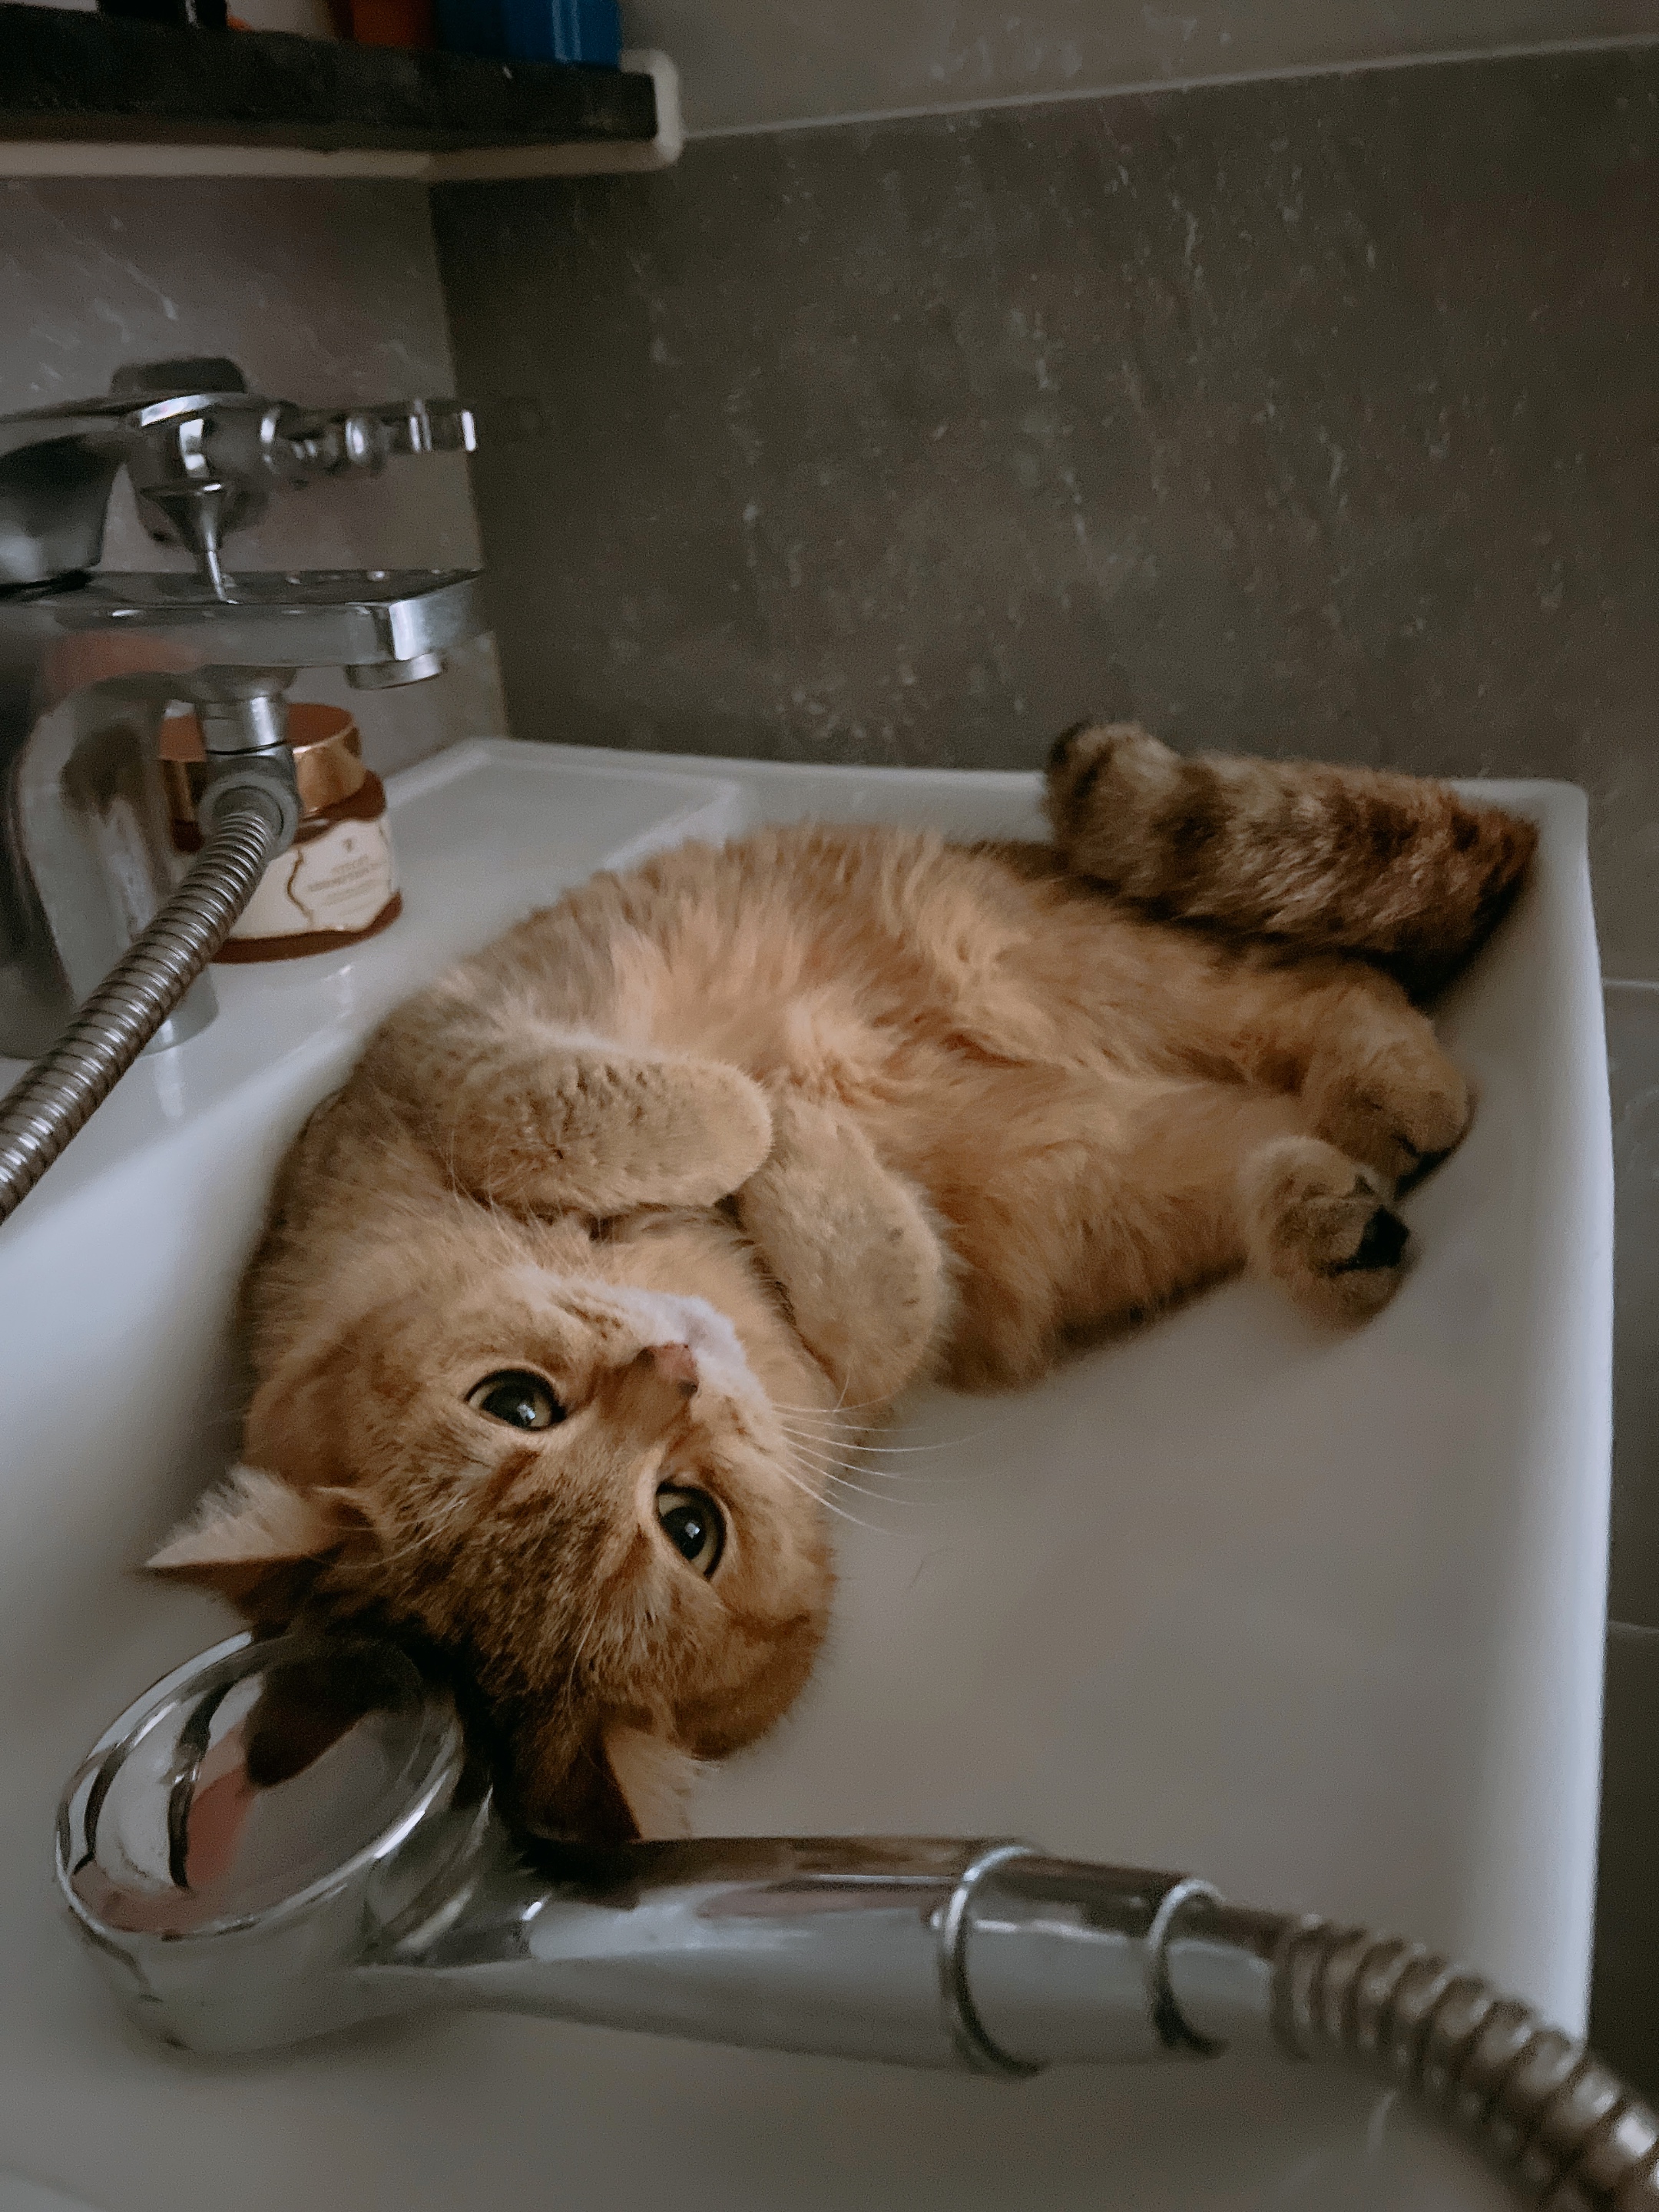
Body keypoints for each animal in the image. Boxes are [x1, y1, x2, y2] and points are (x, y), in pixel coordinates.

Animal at [149, 724, 1537, 1845]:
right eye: (692, 1527)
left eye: (516, 1403)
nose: (674, 1368)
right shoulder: (886, 1353)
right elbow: (881, 1271)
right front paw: (800, 1142)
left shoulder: (452, 1040)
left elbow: (589, 1108)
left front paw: (761, 1116)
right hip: (1129, 1171)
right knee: (1292, 1114)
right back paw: (1340, 1214)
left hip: (1070, 965)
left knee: (1332, 989)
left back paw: (1400, 1084)